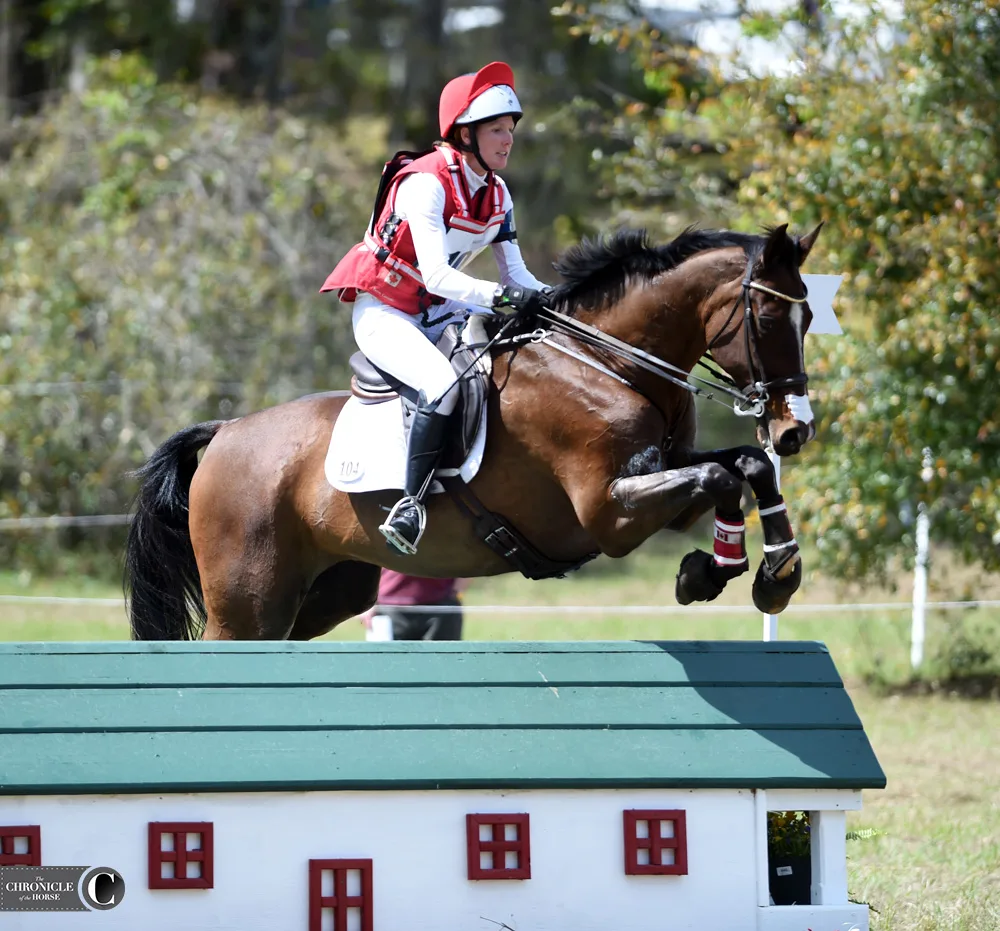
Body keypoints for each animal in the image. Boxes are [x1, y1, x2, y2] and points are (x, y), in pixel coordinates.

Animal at [125, 220, 824, 640]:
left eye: (812, 317)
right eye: (768, 317)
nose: (795, 431)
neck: (607, 362)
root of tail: (225, 432)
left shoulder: (665, 473)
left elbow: (741, 466)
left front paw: (772, 573)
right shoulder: (610, 515)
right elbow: (717, 476)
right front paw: (713, 573)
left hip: (326, 590)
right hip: (247, 600)